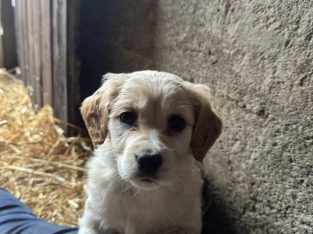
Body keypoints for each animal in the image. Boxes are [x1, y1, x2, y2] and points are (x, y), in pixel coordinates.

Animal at [78, 71, 222, 234]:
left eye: (178, 123)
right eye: (126, 117)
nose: (148, 160)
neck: (143, 193)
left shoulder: (185, 225)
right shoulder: (93, 219)